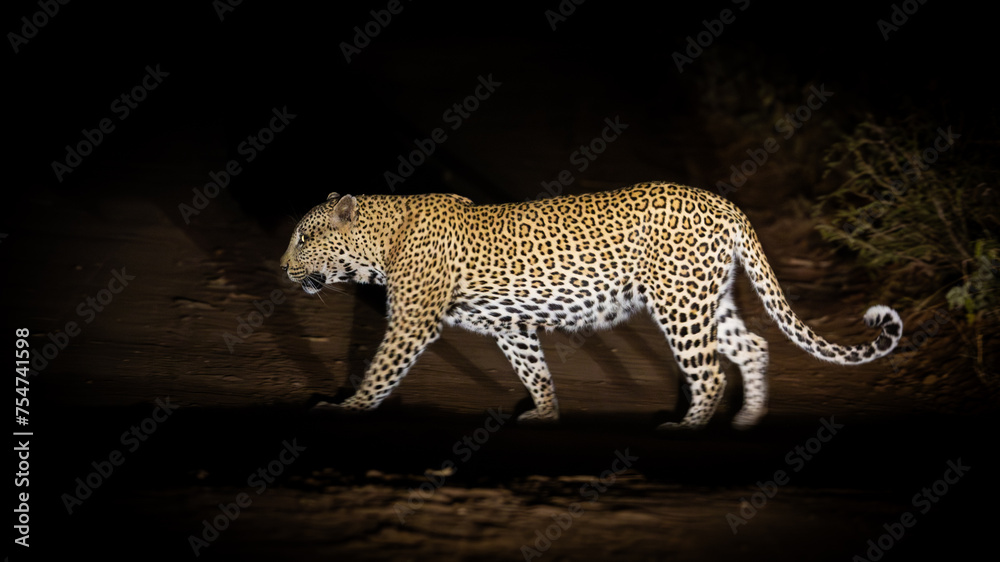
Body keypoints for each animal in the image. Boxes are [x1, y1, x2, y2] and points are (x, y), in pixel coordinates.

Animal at [280, 182, 902, 430]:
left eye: (305, 239)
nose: (282, 267)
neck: (379, 244)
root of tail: (722, 202)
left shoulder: (412, 322)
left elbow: (381, 369)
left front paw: (348, 407)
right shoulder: (510, 327)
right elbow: (535, 372)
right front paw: (545, 415)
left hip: (678, 304)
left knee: (709, 373)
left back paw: (689, 426)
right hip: (707, 298)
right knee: (752, 345)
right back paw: (747, 419)